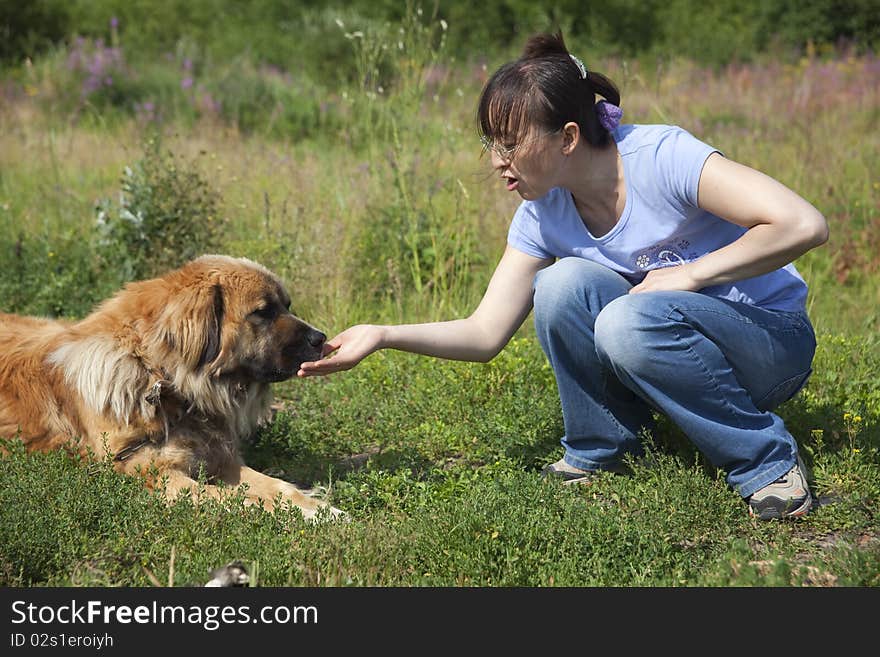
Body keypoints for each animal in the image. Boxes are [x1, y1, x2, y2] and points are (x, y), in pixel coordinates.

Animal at [0, 254, 342, 520]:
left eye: (286, 306)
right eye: (263, 312)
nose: (321, 338)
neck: (162, 378)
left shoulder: (223, 460)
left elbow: (278, 487)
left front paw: (321, 510)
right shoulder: (157, 474)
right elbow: (240, 499)